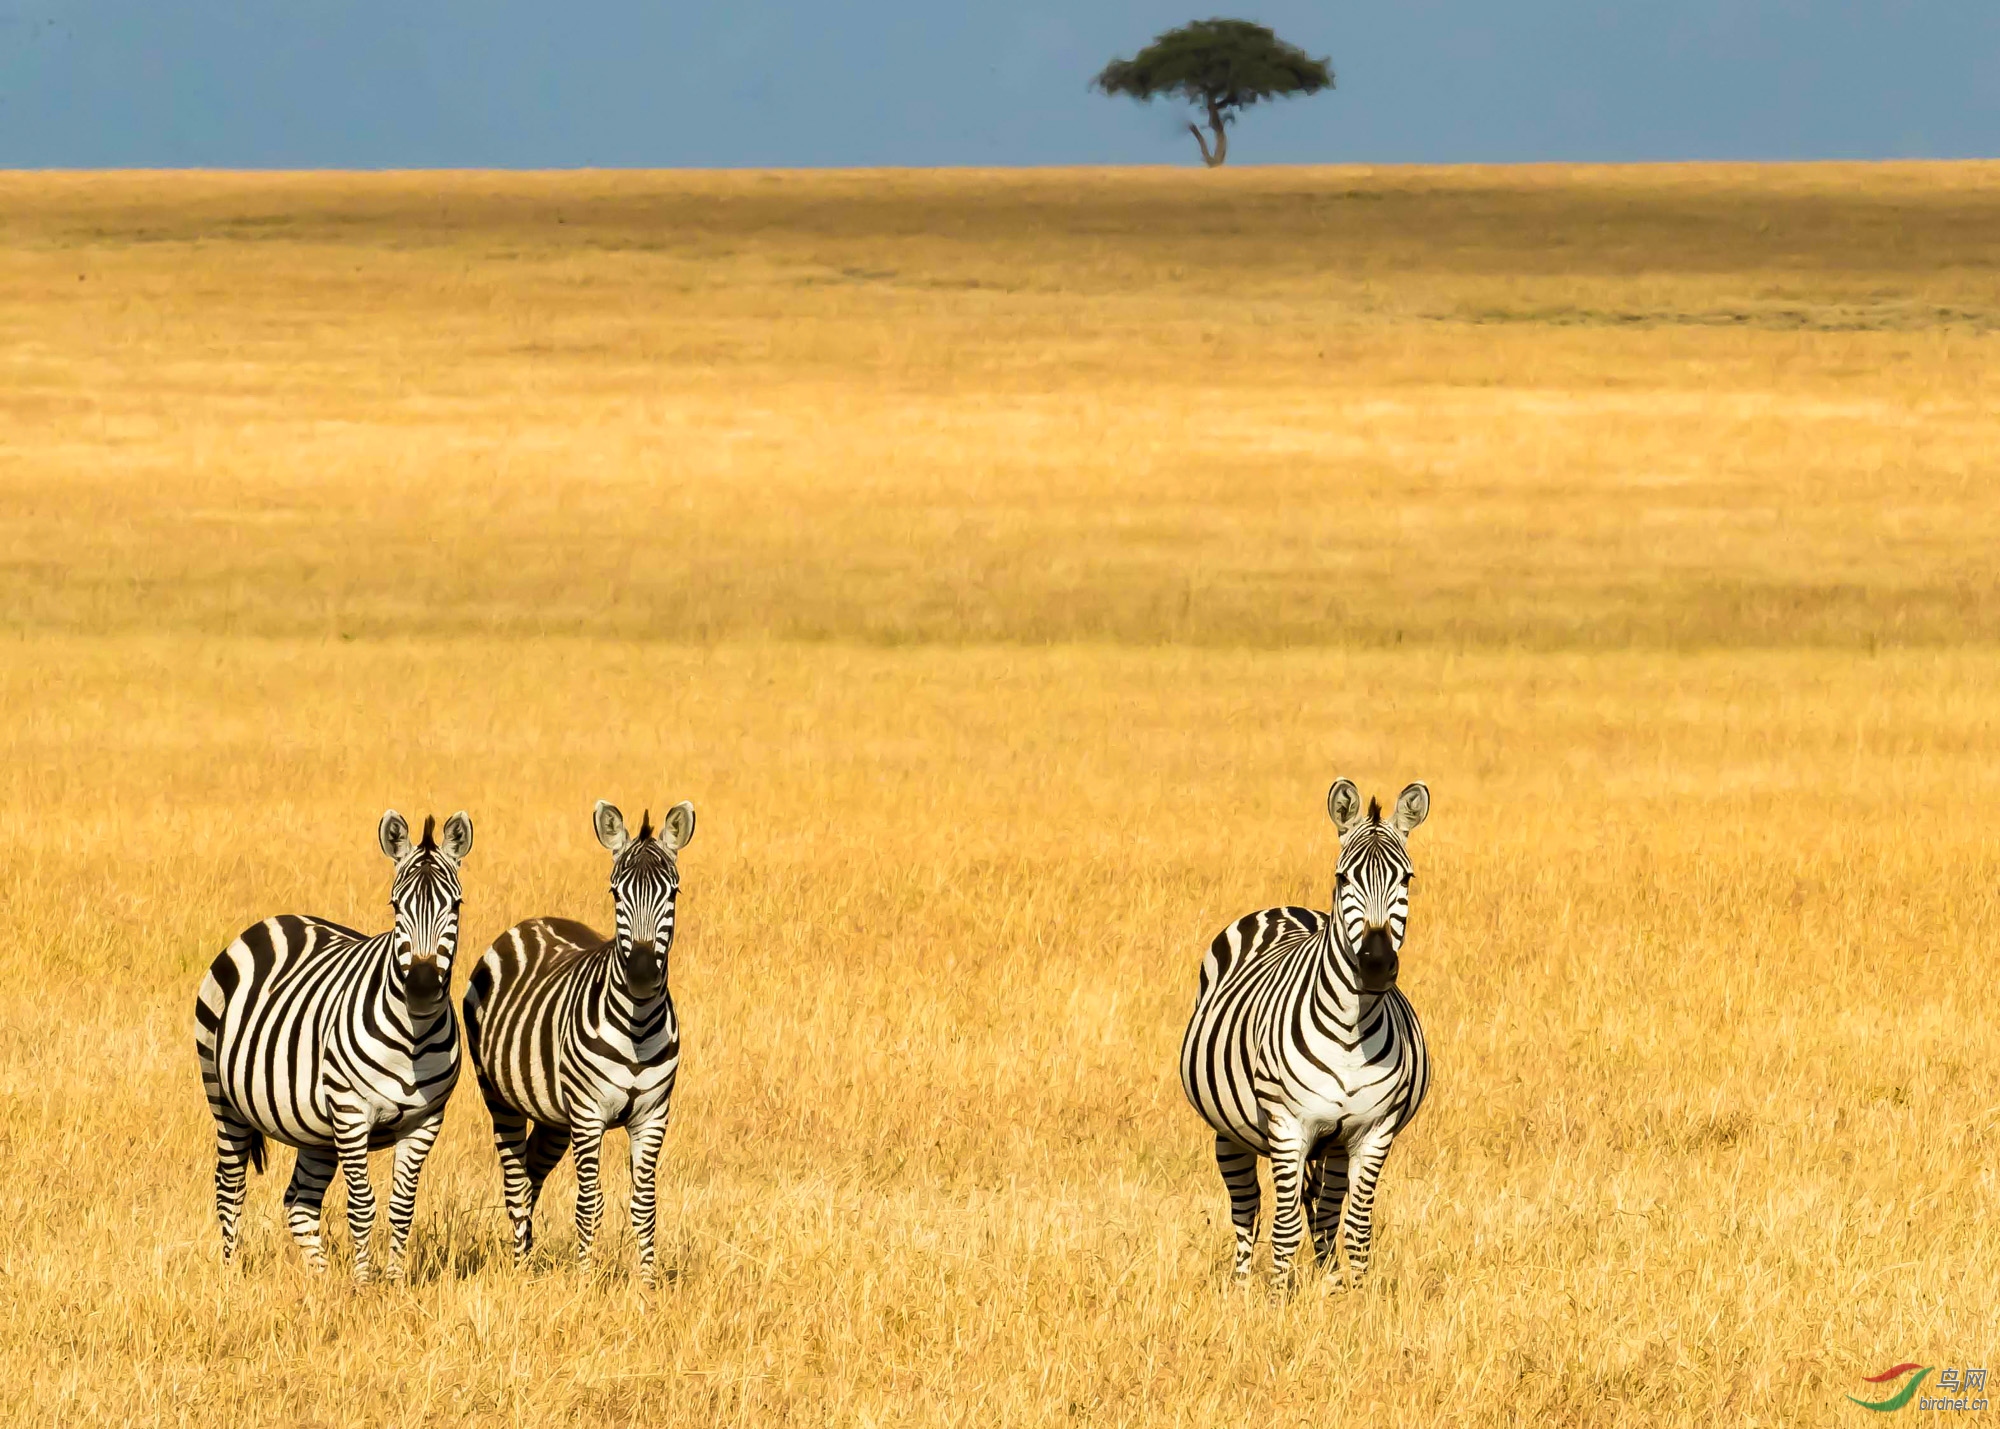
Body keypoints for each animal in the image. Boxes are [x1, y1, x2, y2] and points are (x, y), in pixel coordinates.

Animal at [197, 812, 474, 1280]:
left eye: (455, 906)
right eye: (396, 906)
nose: (420, 986)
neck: (413, 1036)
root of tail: (275, 920)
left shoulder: (425, 1120)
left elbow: (402, 1208)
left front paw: (394, 1282)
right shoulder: (351, 1111)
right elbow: (362, 1206)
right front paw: (363, 1284)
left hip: (315, 1129)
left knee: (299, 1203)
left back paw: (320, 1279)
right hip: (224, 1098)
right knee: (229, 1187)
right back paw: (231, 1275)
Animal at [462, 796, 696, 1288]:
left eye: (673, 893)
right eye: (616, 893)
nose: (642, 973)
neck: (637, 1025)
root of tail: (533, 922)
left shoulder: (653, 1116)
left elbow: (645, 1205)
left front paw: (647, 1285)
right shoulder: (588, 1116)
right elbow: (591, 1203)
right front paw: (586, 1281)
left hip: (554, 1116)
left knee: (531, 1174)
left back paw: (529, 1258)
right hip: (500, 1097)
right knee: (515, 1181)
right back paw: (519, 1268)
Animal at [1176, 780, 1432, 1288]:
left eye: (1406, 880)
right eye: (1343, 879)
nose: (1376, 965)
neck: (1352, 1032)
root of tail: (1284, 909)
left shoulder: (1375, 1130)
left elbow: (1356, 1227)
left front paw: (1354, 1295)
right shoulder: (1288, 1125)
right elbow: (1284, 1226)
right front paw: (1278, 1298)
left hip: (1335, 1143)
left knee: (1328, 1212)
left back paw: (1328, 1280)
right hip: (1230, 1132)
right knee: (1247, 1211)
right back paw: (1242, 1288)